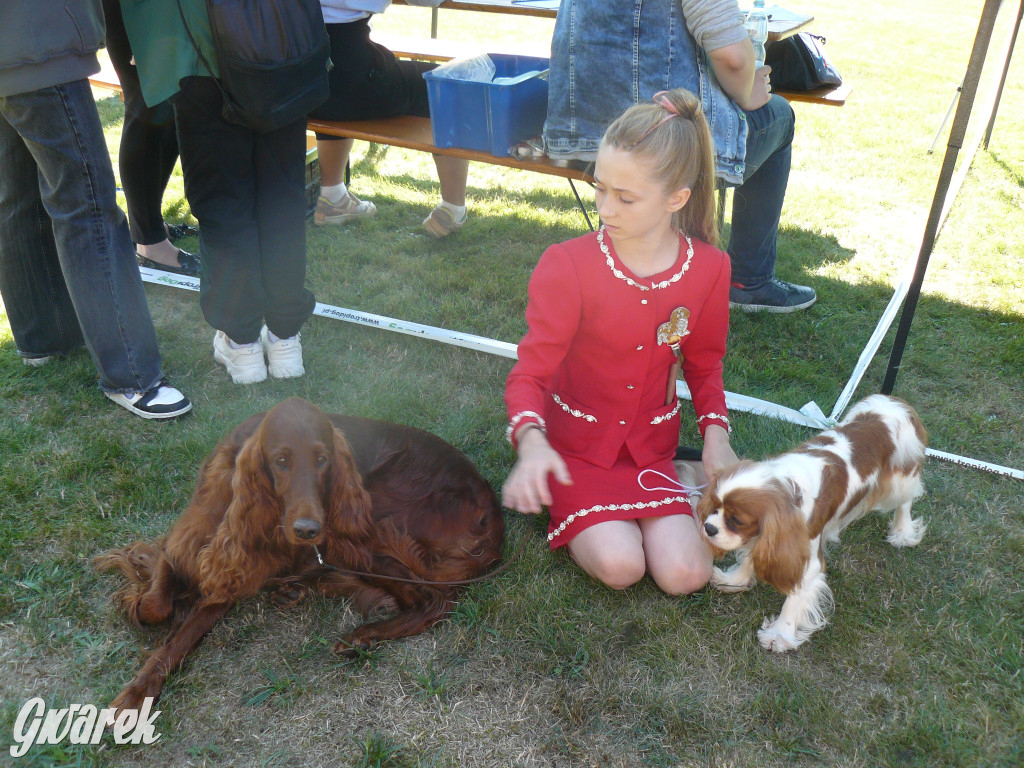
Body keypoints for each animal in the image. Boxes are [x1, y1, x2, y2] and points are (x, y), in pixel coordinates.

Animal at [97, 399, 505, 712]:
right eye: (280, 461)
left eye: (324, 460)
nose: (308, 528)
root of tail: (494, 513)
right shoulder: (204, 548)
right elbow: (161, 607)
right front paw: (136, 693)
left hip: (365, 525)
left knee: (433, 601)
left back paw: (359, 634)